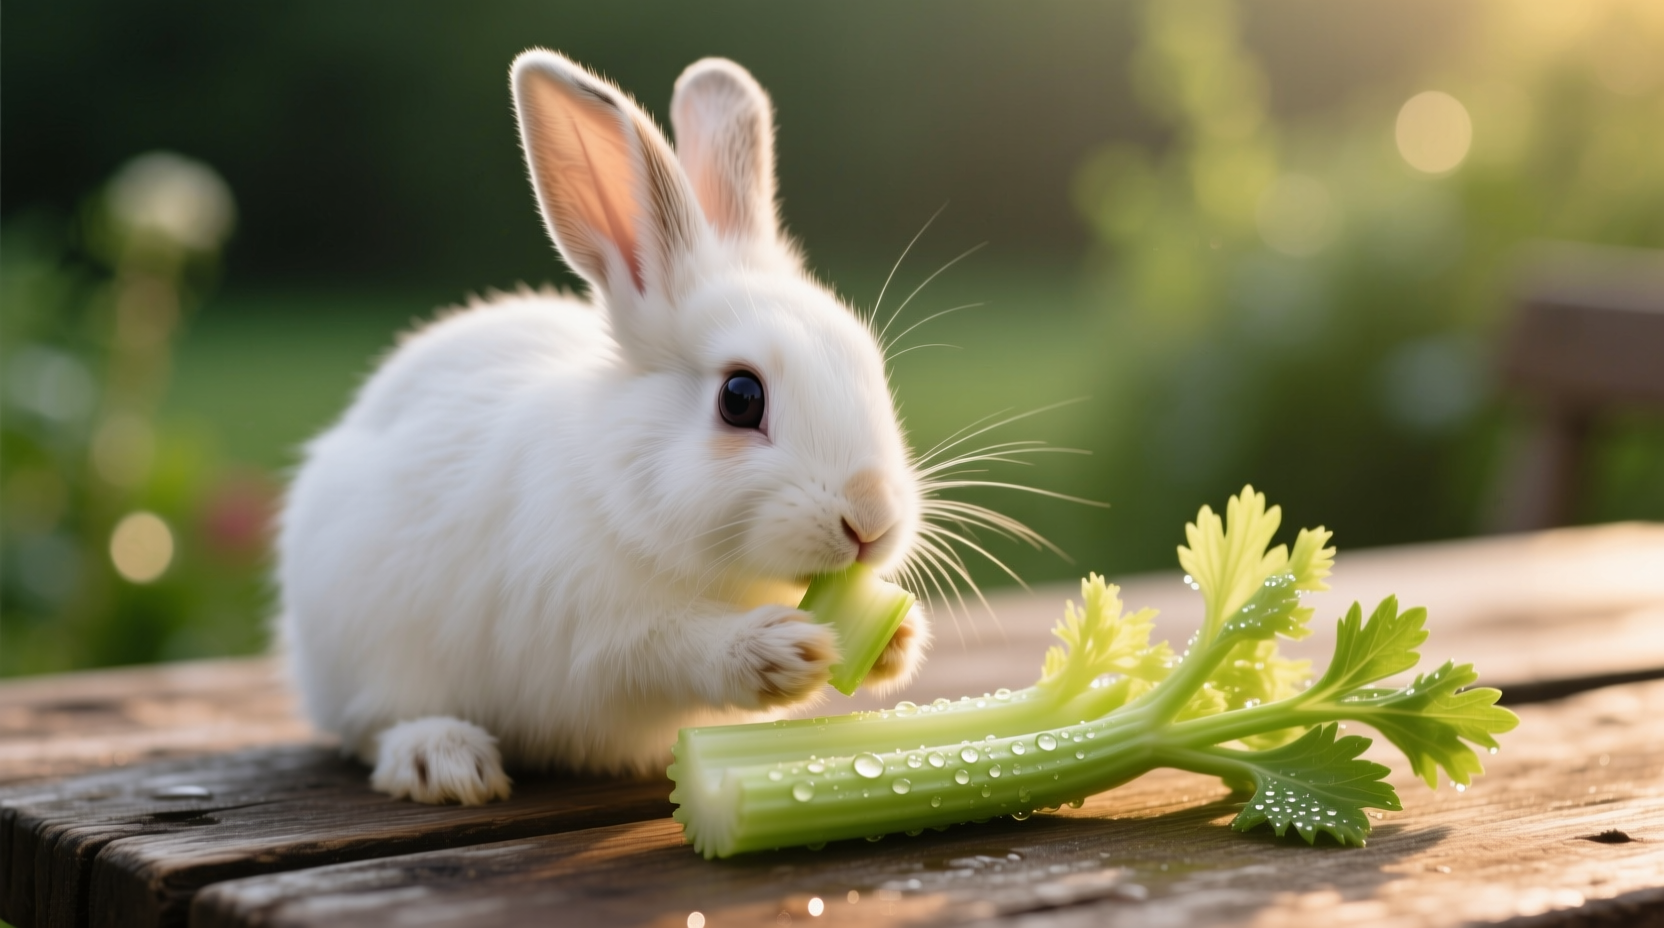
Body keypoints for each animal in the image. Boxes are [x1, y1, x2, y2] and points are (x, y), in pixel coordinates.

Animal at [275, 50, 931, 805]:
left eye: (869, 363)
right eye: (740, 397)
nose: (871, 521)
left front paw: (898, 641)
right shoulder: (591, 636)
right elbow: (665, 649)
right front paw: (783, 650)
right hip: (364, 645)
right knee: (372, 725)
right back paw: (442, 760)